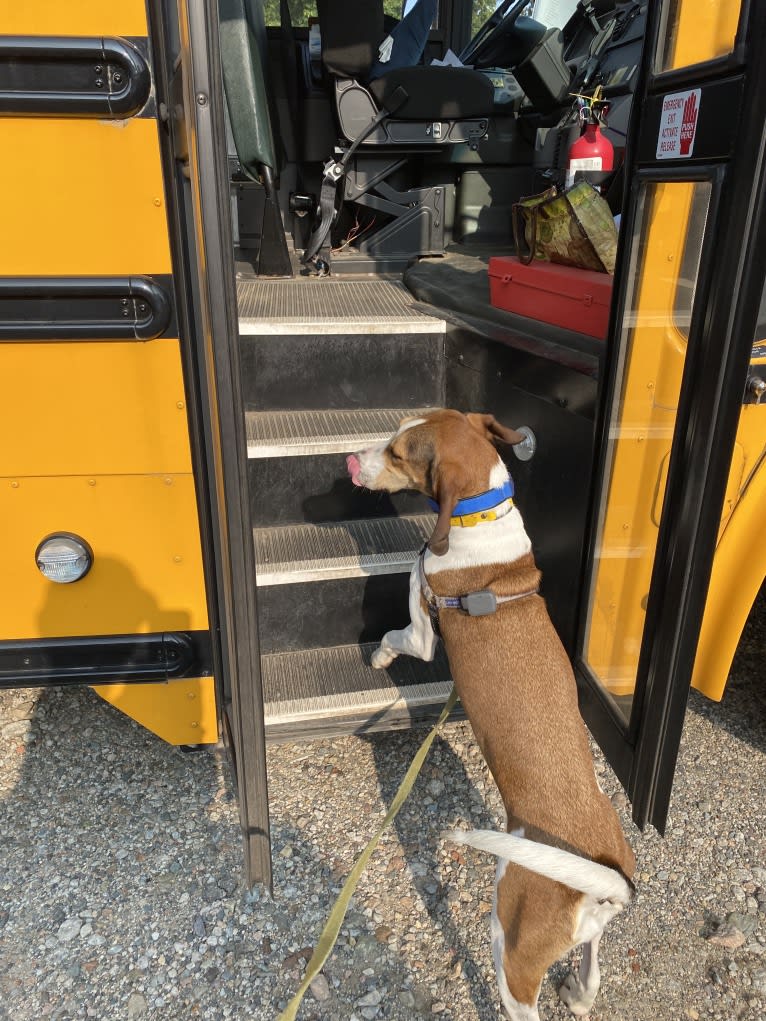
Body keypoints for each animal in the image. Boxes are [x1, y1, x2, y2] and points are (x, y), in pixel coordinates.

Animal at [347, 408, 637, 1021]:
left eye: (398, 452)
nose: (351, 460)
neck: (479, 513)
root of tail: (599, 881)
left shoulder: (423, 628)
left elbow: (394, 637)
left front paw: (379, 656)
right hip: (585, 935)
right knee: (592, 970)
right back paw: (579, 991)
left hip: (510, 948)